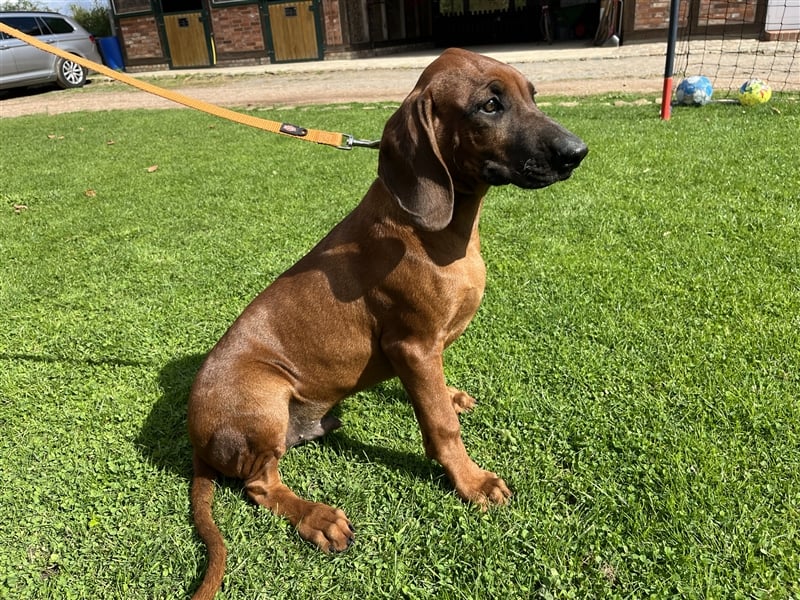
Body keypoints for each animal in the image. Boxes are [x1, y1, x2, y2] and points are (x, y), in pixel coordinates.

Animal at [186, 47, 588, 596]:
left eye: (532, 95)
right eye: (489, 105)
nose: (578, 152)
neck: (436, 230)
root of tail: (195, 441)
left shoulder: (423, 352)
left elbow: (436, 396)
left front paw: (452, 396)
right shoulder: (412, 345)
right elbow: (440, 426)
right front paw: (472, 481)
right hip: (264, 395)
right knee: (258, 485)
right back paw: (317, 517)